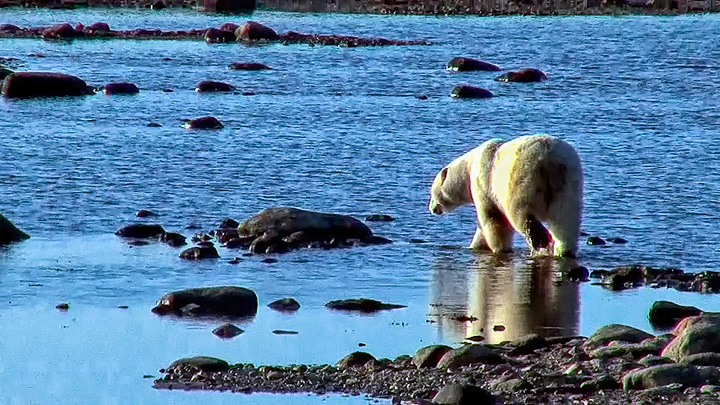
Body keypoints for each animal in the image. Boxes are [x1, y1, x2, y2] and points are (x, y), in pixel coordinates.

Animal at [429, 135, 583, 258]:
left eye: (431, 193)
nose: (432, 209)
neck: (470, 165)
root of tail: (549, 161)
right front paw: (475, 246)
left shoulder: (485, 184)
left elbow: (493, 218)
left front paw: (499, 248)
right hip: (568, 183)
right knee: (566, 220)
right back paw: (564, 250)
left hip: (522, 180)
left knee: (521, 214)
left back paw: (540, 241)